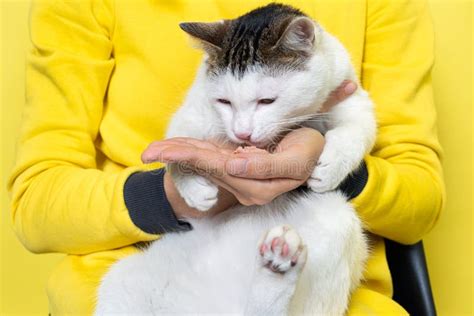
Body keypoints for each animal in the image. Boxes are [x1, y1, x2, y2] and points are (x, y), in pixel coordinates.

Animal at [96, 3, 376, 314]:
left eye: (267, 101)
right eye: (224, 102)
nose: (242, 133)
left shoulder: (352, 97)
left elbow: (356, 131)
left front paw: (330, 167)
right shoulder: (189, 116)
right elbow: (175, 153)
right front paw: (194, 189)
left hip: (337, 218)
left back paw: (278, 263)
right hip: (122, 279)